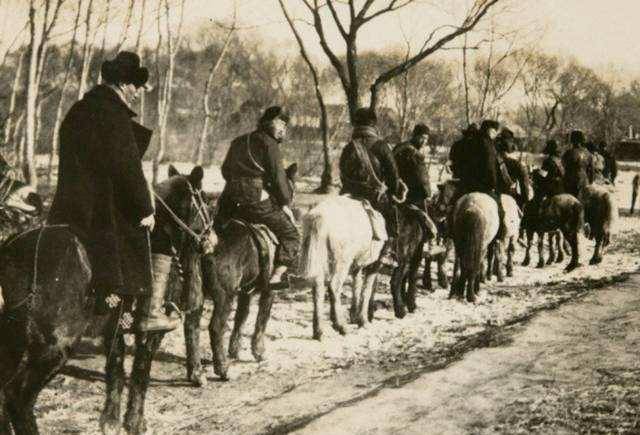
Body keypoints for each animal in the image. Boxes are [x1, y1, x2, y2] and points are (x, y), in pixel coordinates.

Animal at [0, 165, 210, 434]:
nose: (211, 239)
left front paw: (110, 420)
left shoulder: (114, 329)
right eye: (204, 201)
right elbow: (141, 372)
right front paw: (135, 422)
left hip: (14, 344)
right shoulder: (151, 333)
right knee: (18, 398)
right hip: (53, 347)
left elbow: (116, 370)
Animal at [182, 164, 298, 384]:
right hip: (224, 297)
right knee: (216, 328)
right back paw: (222, 369)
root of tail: (204, 243)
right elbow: (261, 319)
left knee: (191, 325)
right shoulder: (268, 292)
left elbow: (241, 318)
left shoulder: (246, 291)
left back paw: (196, 374)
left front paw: (235, 350)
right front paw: (258, 352)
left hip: (197, 294)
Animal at [298, 195, 384, 340]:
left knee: (318, 288)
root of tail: (319, 216)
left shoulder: (358, 265)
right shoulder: (374, 264)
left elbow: (357, 286)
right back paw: (341, 326)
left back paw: (319, 331)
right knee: (334, 286)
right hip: (342, 261)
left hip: (319, 257)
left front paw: (355, 316)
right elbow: (366, 291)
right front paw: (363, 320)